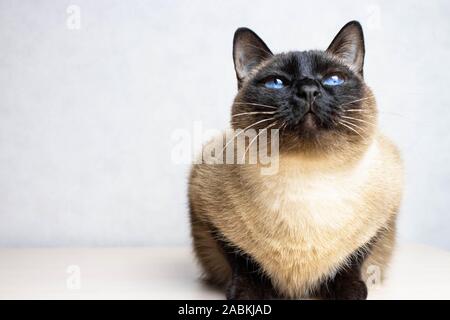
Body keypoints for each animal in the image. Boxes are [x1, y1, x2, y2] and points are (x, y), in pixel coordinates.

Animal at [188, 21, 402, 300]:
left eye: (333, 79)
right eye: (277, 82)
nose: (308, 90)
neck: (307, 176)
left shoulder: (383, 217)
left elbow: (353, 260)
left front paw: (350, 292)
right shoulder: (206, 210)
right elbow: (243, 260)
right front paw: (248, 295)